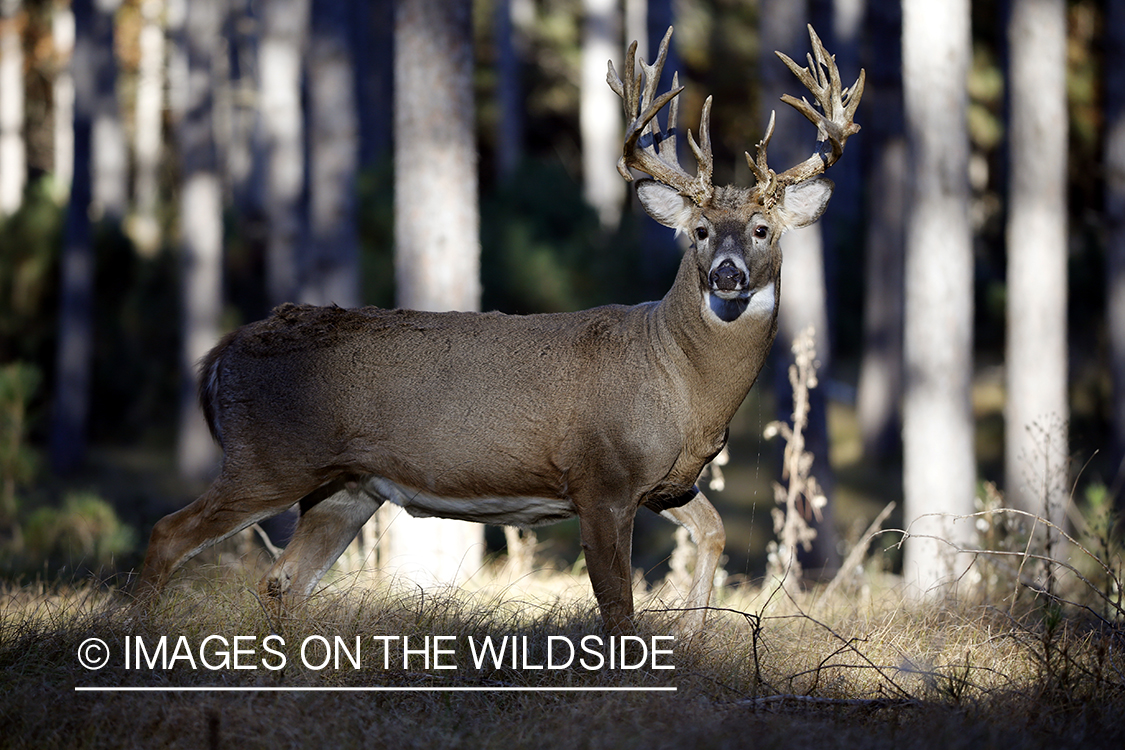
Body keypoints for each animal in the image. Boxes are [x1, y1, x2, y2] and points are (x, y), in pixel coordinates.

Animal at [138, 26, 859, 638]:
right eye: (700, 231)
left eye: (762, 230)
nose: (727, 275)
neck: (680, 380)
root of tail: (219, 356)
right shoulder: (599, 475)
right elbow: (617, 604)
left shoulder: (665, 482)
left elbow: (711, 533)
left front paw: (692, 632)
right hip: (268, 458)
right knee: (168, 533)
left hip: (345, 488)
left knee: (282, 580)